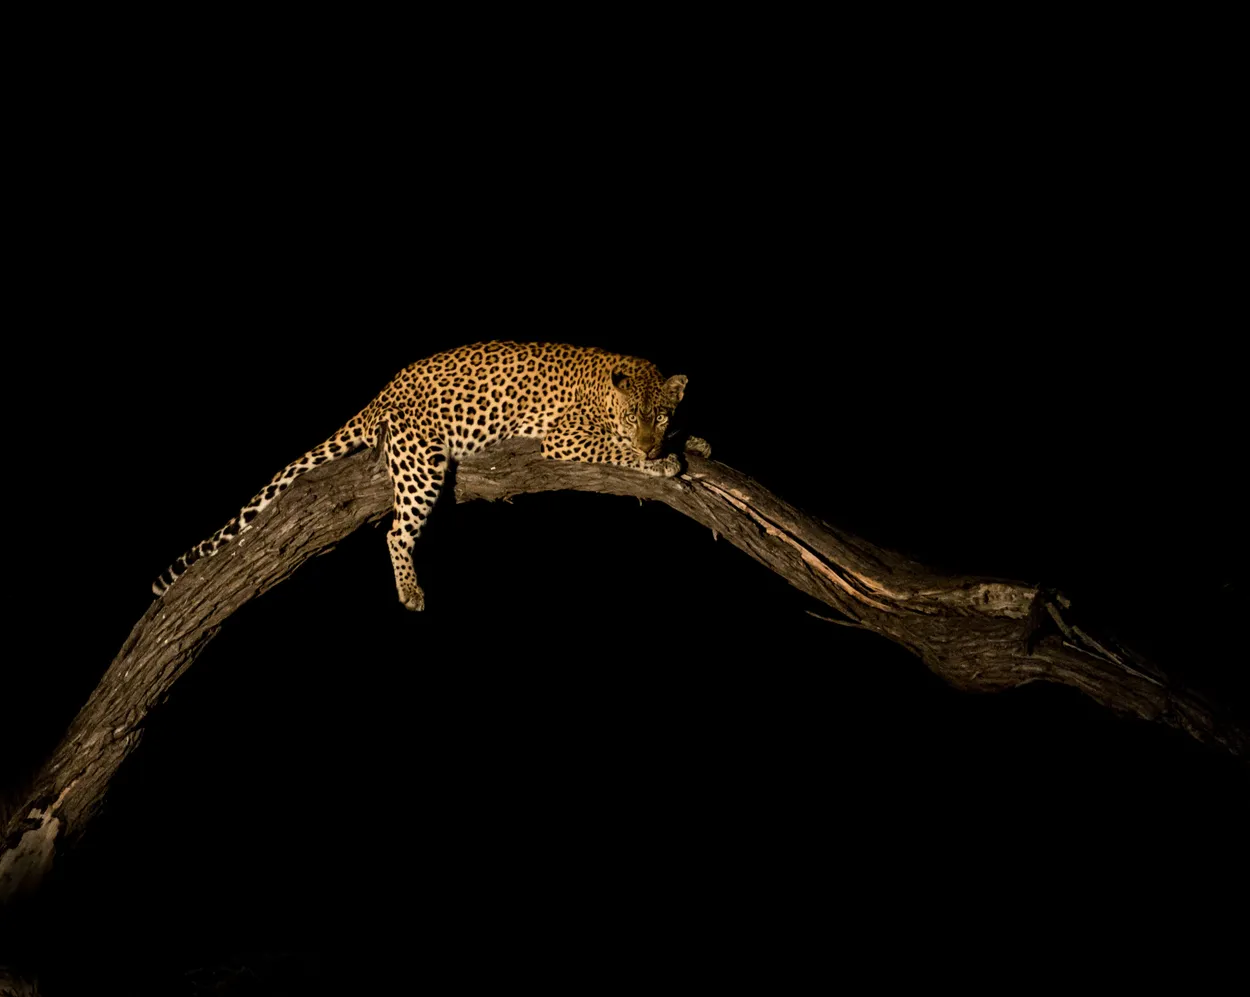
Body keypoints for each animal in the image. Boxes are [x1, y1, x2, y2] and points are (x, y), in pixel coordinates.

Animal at [152, 341, 711, 611]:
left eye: (661, 415)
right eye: (633, 415)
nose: (652, 440)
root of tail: (385, 388)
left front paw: (690, 442)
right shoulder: (564, 436)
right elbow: (616, 449)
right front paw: (658, 461)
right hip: (421, 461)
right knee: (397, 532)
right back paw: (411, 592)